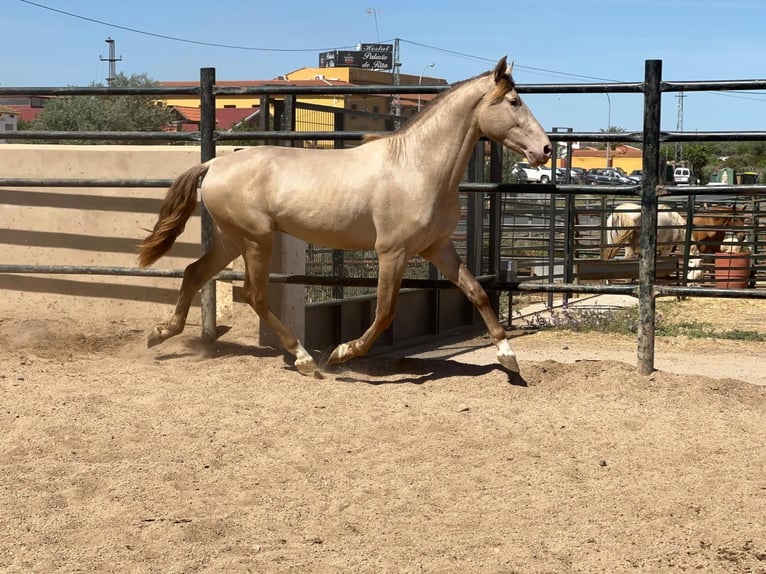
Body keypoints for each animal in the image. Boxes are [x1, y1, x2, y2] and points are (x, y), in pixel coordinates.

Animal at [136, 57, 552, 378]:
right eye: (514, 101)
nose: (546, 149)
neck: (417, 167)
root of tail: (214, 163)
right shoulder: (392, 252)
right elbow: (384, 312)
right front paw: (342, 353)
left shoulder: (437, 247)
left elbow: (477, 292)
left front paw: (509, 358)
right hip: (256, 240)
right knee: (254, 295)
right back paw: (305, 359)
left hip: (231, 238)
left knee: (194, 272)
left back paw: (160, 333)